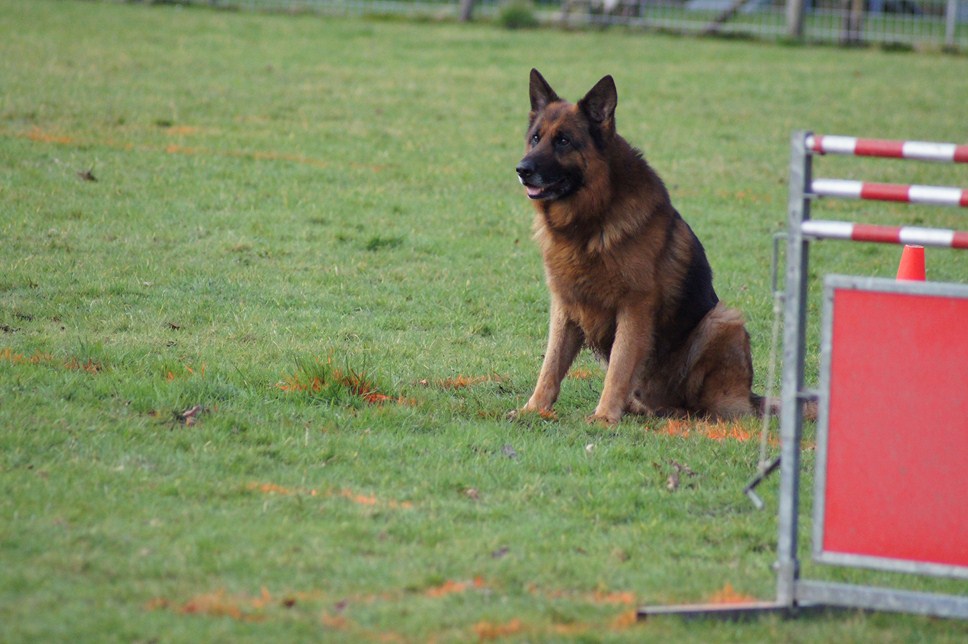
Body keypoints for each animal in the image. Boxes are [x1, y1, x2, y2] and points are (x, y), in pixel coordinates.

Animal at [520, 70, 760, 426]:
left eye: (563, 141)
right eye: (536, 138)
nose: (522, 170)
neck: (591, 219)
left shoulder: (634, 309)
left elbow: (619, 368)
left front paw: (604, 418)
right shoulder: (565, 307)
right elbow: (550, 366)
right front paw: (534, 409)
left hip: (722, 321)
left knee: (711, 408)